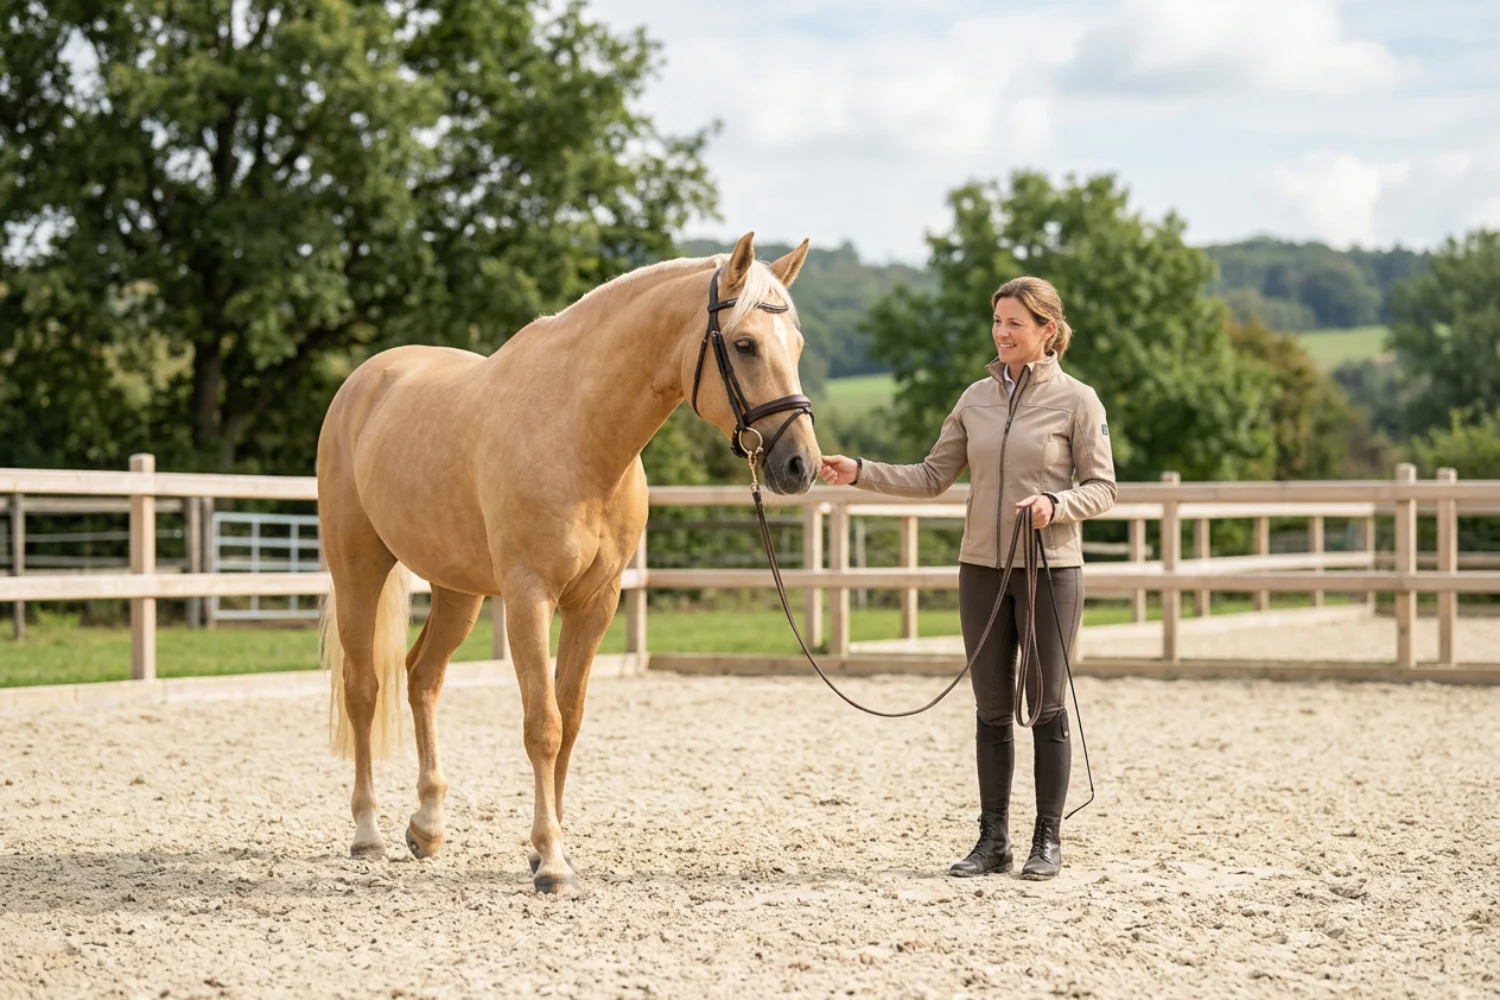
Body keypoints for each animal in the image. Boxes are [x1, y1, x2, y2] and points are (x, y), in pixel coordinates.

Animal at [316, 233, 820, 893]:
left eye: (797, 346)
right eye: (744, 344)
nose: (801, 465)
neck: (579, 431)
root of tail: (365, 380)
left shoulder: (595, 603)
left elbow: (571, 718)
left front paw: (544, 850)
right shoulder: (530, 597)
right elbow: (543, 724)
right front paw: (552, 862)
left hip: (458, 590)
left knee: (422, 676)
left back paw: (427, 827)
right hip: (358, 570)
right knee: (364, 689)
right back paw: (367, 833)